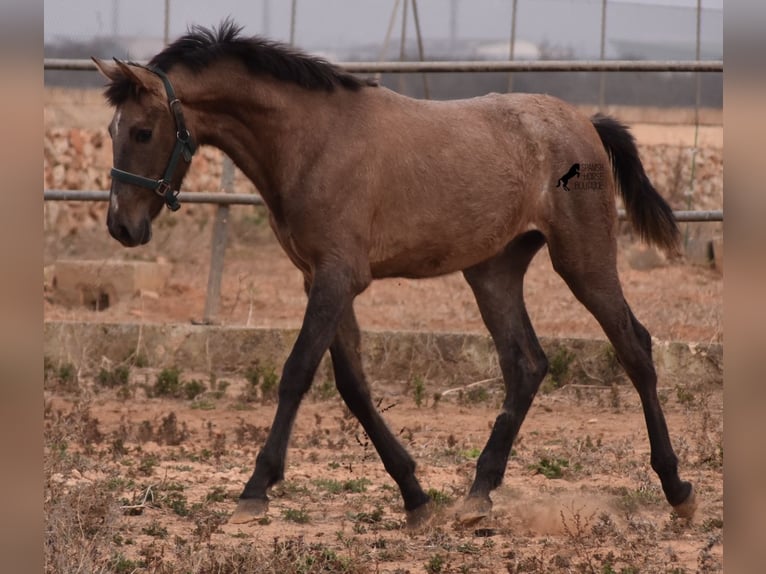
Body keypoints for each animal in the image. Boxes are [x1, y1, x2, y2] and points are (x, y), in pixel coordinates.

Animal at [93, 21, 700, 528]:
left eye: (142, 132)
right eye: (111, 130)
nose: (121, 226)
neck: (312, 140)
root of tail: (585, 124)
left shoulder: (336, 277)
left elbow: (297, 373)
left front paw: (255, 490)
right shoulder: (320, 279)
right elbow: (353, 385)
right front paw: (415, 497)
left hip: (582, 258)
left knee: (634, 347)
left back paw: (677, 489)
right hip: (493, 272)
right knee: (526, 365)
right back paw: (477, 495)